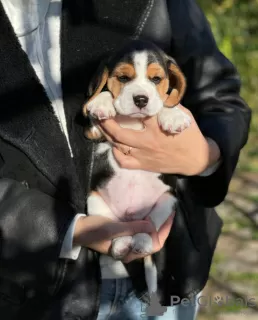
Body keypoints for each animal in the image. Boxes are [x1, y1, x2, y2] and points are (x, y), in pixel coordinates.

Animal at [82, 40, 191, 298]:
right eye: (123, 78)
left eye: (156, 79)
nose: (141, 99)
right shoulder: (94, 133)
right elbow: (100, 105)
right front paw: (101, 102)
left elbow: (165, 101)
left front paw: (172, 114)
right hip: (95, 201)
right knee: (117, 229)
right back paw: (122, 243)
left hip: (167, 201)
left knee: (148, 227)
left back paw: (142, 242)